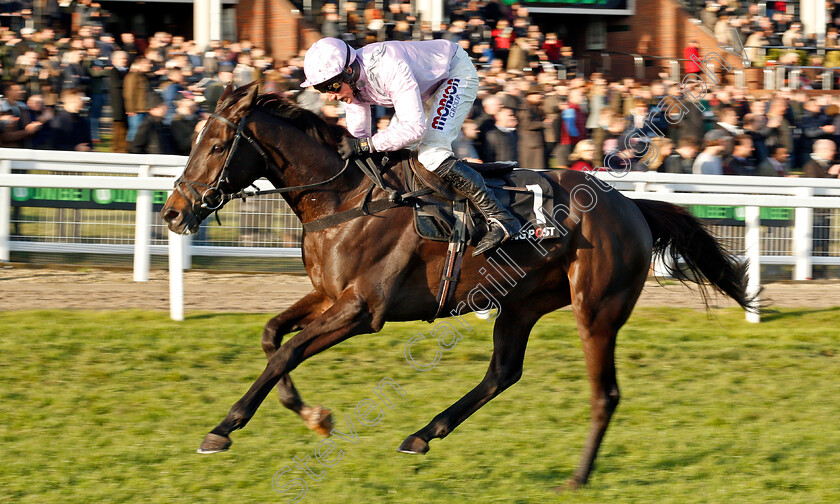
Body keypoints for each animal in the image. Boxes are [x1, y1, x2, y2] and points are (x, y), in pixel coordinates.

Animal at [159, 84, 756, 490]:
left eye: (217, 145)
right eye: (196, 139)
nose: (173, 212)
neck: (345, 198)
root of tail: (631, 205)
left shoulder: (361, 309)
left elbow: (286, 353)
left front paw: (226, 428)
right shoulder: (329, 295)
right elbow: (271, 336)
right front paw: (309, 415)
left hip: (596, 309)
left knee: (603, 393)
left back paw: (577, 477)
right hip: (520, 304)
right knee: (502, 374)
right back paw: (423, 434)